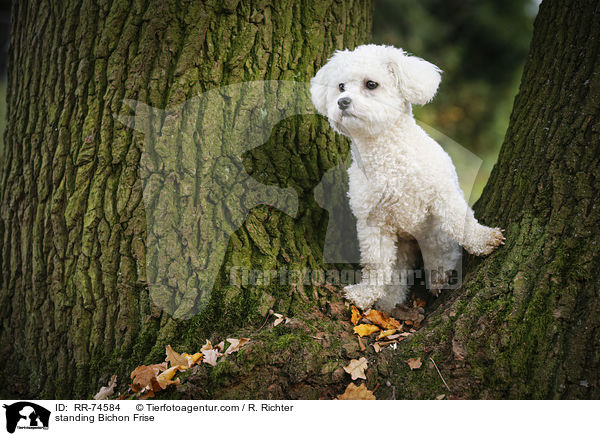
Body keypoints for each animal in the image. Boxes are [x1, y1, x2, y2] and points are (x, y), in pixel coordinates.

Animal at [312, 44, 504, 310]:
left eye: (371, 84)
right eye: (341, 86)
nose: (342, 101)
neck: (387, 157)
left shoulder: (443, 195)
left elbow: (459, 221)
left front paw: (484, 240)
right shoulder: (374, 223)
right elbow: (375, 263)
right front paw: (366, 294)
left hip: (433, 235)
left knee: (444, 254)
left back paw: (439, 279)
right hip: (402, 247)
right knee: (397, 273)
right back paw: (389, 302)